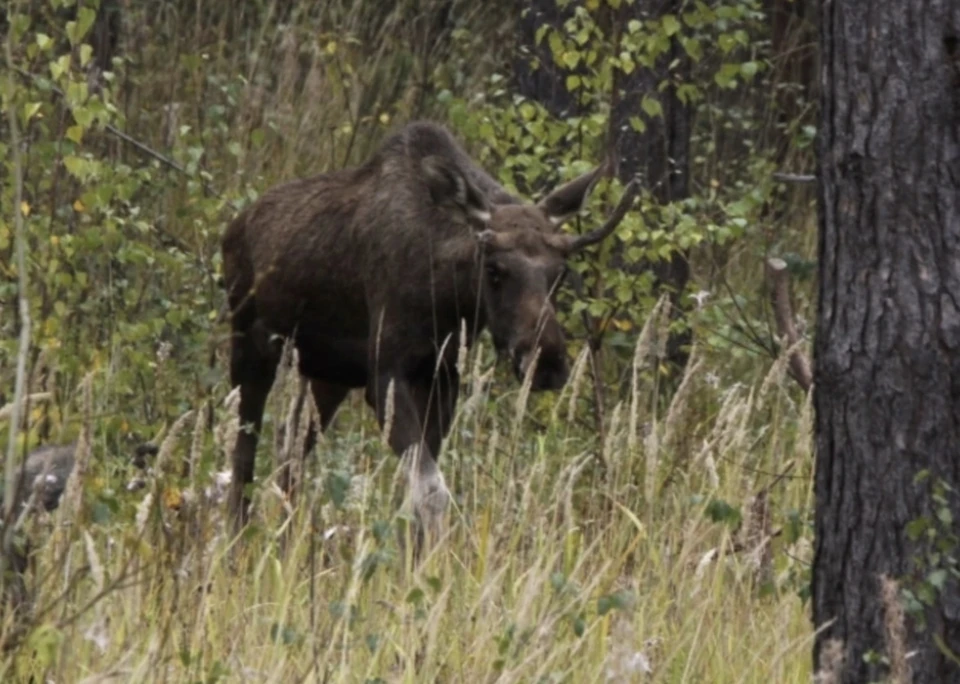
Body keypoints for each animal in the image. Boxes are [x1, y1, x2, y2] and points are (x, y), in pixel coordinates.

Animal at [220, 120, 632, 544]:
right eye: (494, 270)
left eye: (559, 274)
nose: (546, 361)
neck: (447, 295)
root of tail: (233, 229)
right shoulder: (385, 377)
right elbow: (432, 491)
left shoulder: (441, 378)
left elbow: (417, 495)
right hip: (251, 345)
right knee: (244, 452)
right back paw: (236, 540)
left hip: (328, 375)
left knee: (289, 451)